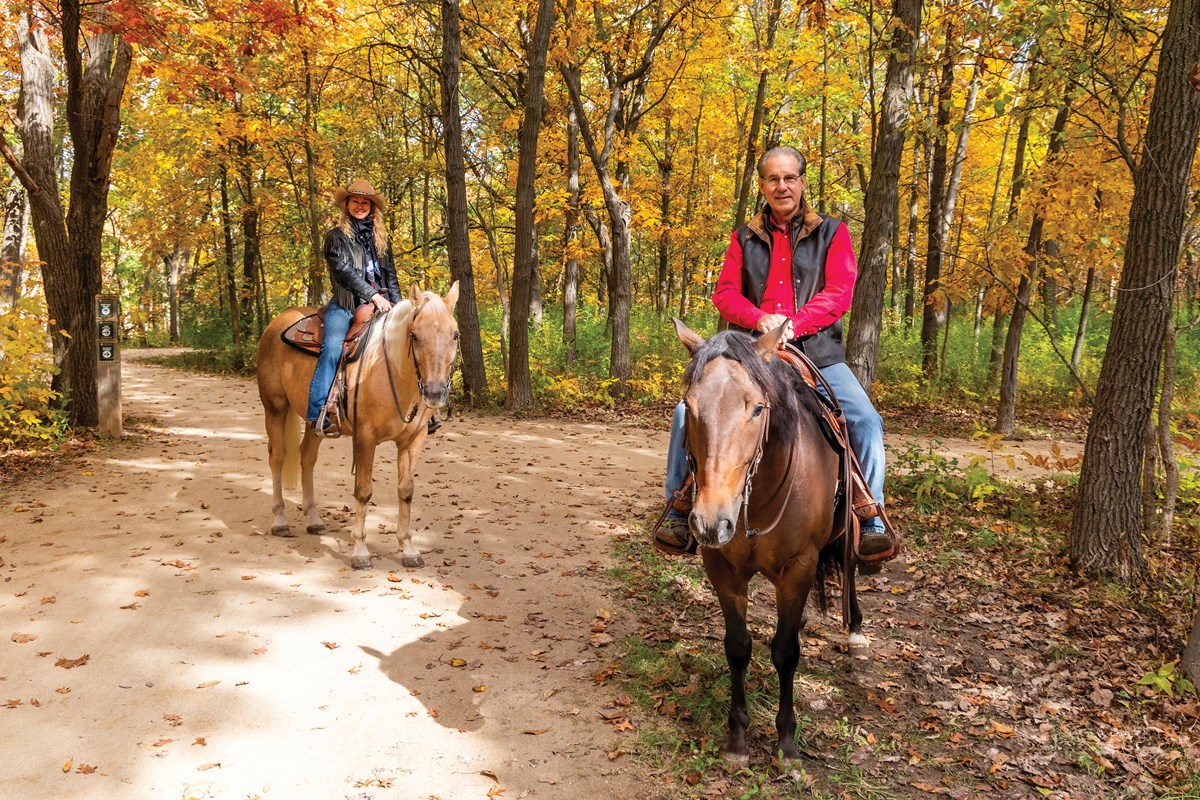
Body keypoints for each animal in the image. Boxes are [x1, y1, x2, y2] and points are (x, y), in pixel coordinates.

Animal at [256, 284, 458, 573]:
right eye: (415, 335)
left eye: (455, 335)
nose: (435, 392)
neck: (391, 370)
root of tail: (277, 322)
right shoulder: (365, 437)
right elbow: (363, 492)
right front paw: (360, 552)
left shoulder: (413, 440)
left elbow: (406, 491)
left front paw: (408, 549)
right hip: (275, 407)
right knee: (278, 458)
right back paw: (280, 521)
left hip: (315, 423)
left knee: (307, 458)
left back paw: (313, 519)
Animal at [676, 316, 864, 762]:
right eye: (689, 406)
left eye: (757, 408)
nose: (710, 521)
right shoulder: (721, 565)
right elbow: (738, 646)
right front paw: (737, 737)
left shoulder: (800, 565)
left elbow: (785, 651)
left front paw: (787, 742)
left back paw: (856, 628)